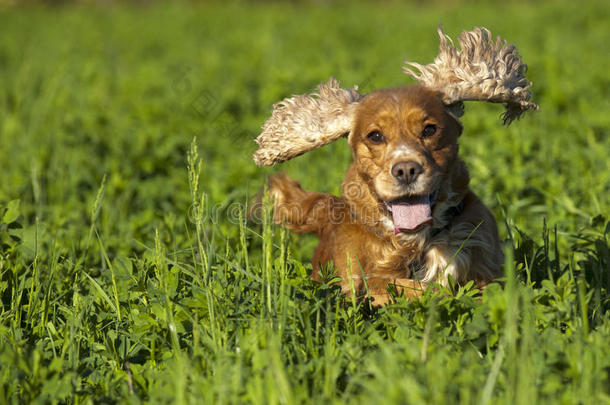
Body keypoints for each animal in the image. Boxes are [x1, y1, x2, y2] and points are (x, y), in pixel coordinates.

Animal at [249, 27, 536, 306]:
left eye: (429, 129)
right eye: (375, 136)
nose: (406, 169)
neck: (417, 242)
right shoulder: (357, 281)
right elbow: (402, 286)